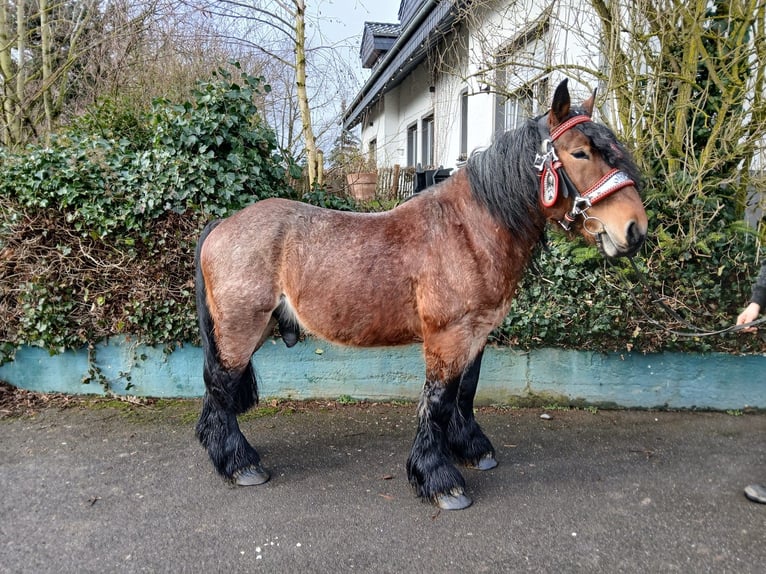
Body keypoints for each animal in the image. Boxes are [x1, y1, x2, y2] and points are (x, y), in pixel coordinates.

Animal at [194, 79, 648, 510]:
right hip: (241, 328)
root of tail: (222, 224)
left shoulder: (475, 334)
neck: (467, 231)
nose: (634, 228)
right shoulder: (447, 337)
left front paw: (471, 448)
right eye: (580, 153)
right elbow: (439, 401)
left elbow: (466, 392)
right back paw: (240, 463)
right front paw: (439, 480)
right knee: (220, 383)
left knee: (217, 387)